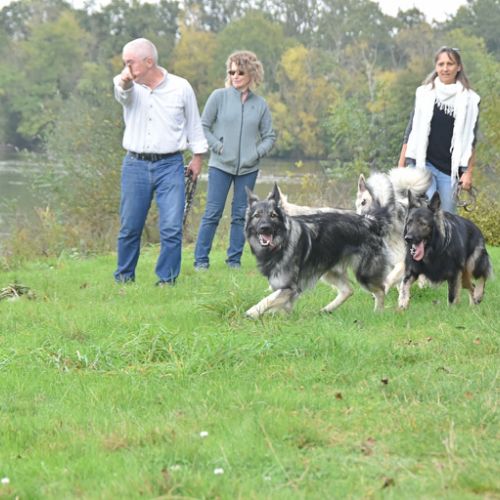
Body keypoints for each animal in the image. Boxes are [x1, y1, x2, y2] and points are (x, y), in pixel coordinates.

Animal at [244, 184, 389, 318]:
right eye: (257, 215)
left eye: (273, 215)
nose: (265, 228)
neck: (281, 244)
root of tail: (370, 221)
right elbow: (280, 304)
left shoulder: (290, 287)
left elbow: (269, 299)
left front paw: (252, 312)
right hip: (330, 271)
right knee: (348, 290)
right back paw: (327, 309)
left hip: (364, 274)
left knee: (381, 290)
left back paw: (378, 313)